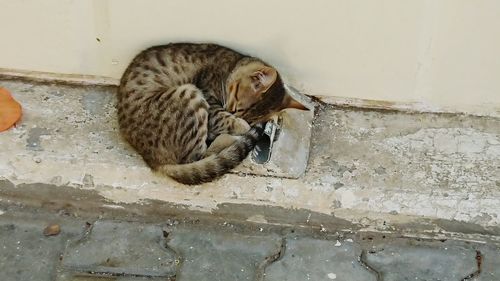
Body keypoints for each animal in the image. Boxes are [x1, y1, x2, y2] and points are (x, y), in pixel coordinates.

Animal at [118, 42, 304, 185]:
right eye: (237, 108)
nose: (232, 112)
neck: (231, 64)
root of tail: (153, 160)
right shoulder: (209, 98)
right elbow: (225, 118)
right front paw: (241, 125)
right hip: (189, 95)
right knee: (197, 156)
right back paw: (230, 139)